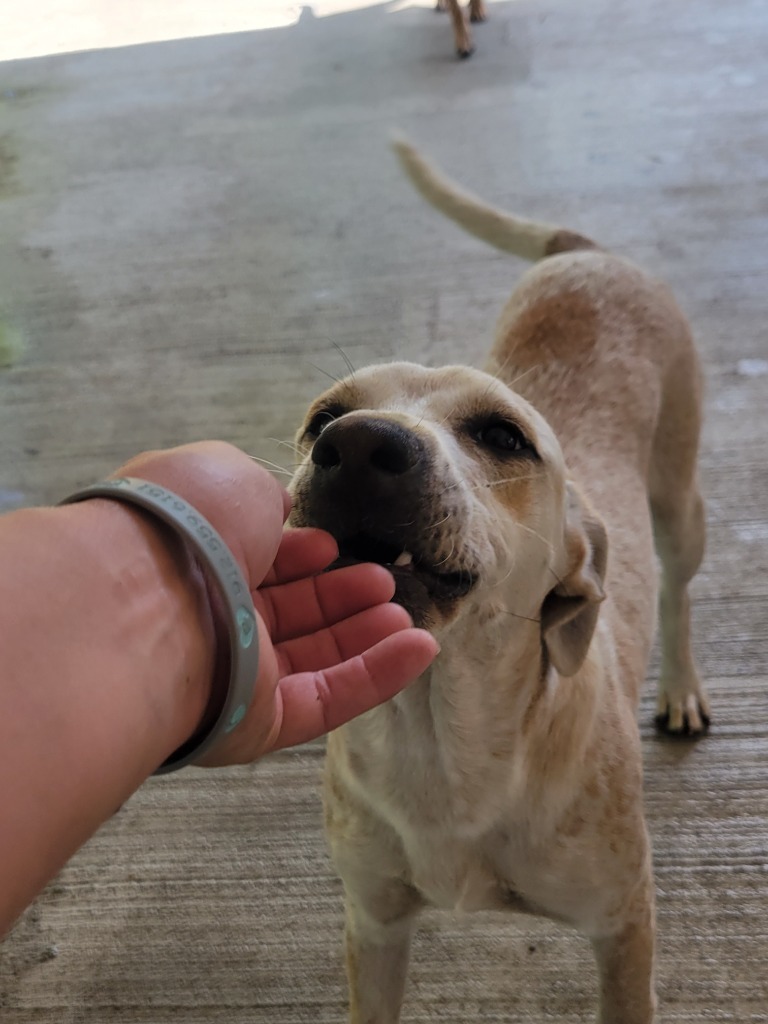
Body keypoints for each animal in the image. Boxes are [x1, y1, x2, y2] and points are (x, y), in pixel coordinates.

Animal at [290, 138, 716, 1024]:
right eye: (322, 419)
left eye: (503, 435)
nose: (359, 446)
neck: (443, 746)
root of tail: (582, 251)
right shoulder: (373, 928)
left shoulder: (625, 927)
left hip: (679, 504)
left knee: (678, 589)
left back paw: (682, 688)